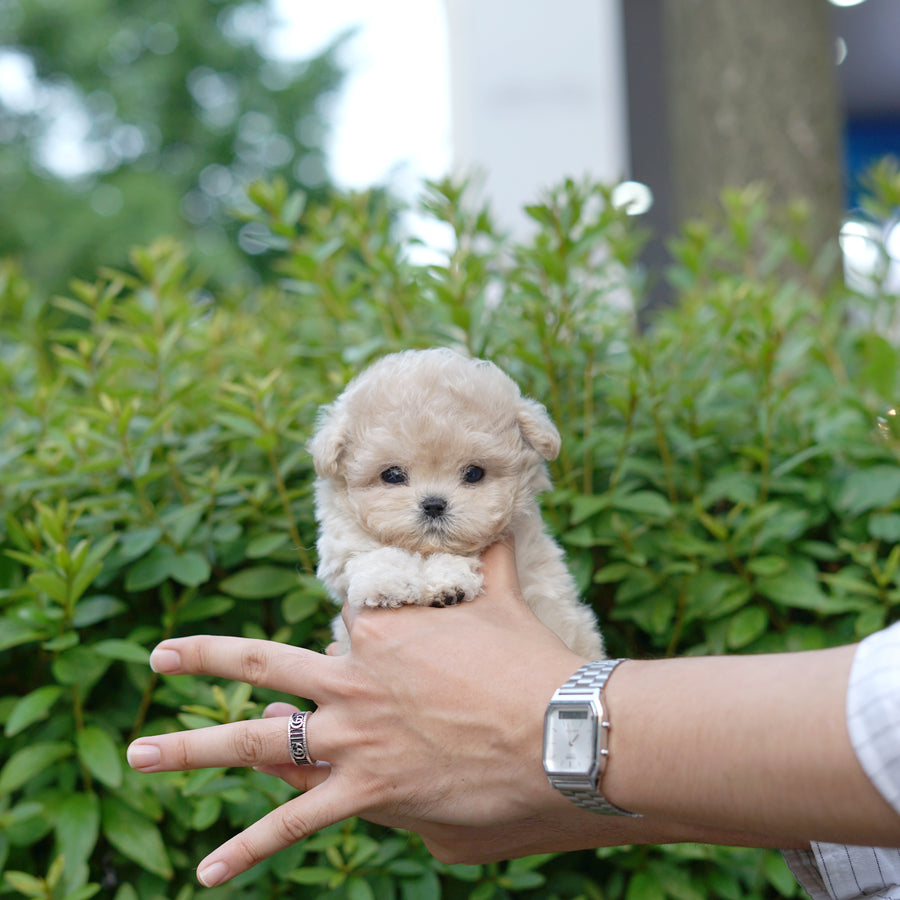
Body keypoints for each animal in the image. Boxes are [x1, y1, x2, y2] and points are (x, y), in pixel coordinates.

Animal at [310, 348, 604, 656]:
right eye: (392, 475)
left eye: (474, 473)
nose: (434, 504)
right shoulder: (339, 544)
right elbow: (372, 554)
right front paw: (387, 585)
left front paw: (448, 584)